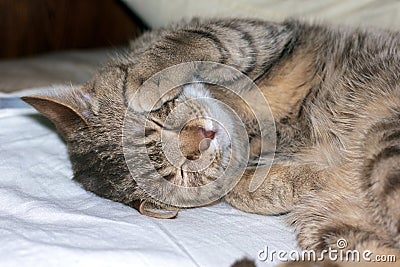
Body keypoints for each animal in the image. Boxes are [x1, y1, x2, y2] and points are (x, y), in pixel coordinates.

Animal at [22, 18, 400, 266]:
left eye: (156, 119)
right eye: (180, 174)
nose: (203, 137)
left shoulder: (249, 35)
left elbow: (191, 40)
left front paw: (145, 76)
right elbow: (242, 191)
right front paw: (307, 179)